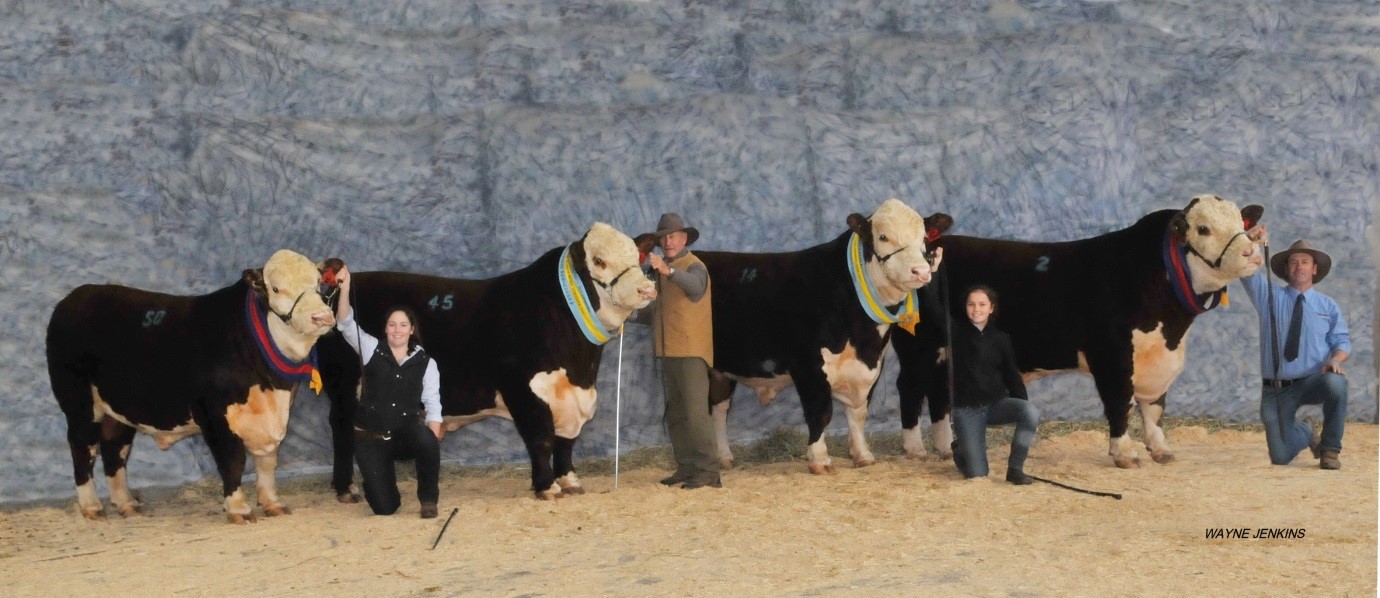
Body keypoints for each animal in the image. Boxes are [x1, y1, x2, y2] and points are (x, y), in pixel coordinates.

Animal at [894, 196, 1264, 466]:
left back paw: (944, 448)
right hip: (917, 348)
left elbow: (1155, 408)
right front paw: (1124, 453)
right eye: (1203, 228)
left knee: (939, 394)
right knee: (910, 389)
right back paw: (915, 449)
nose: (1251, 252)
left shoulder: (1157, 359)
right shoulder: (1112, 355)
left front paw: (1160, 449)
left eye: (1241, 224)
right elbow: (1120, 402)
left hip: (944, 353)